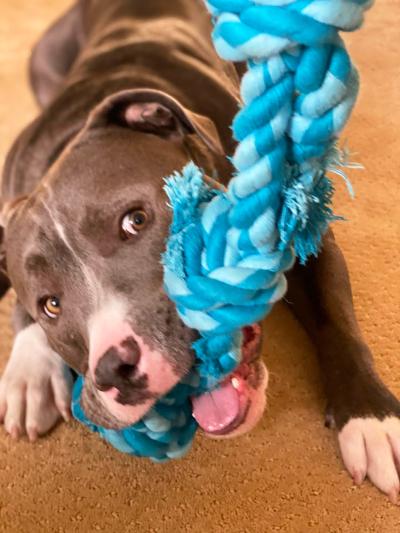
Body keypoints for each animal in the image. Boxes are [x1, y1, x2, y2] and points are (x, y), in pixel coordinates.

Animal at [0, 0, 400, 498]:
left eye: (135, 220)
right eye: (50, 305)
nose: (116, 368)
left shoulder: (306, 232)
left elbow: (336, 318)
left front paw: (371, 418)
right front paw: (31, 365)